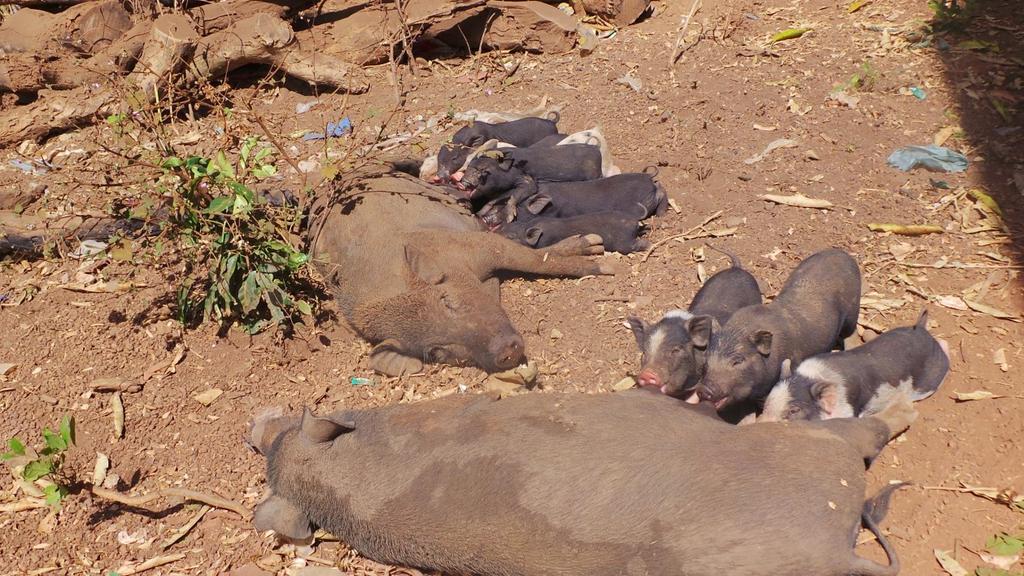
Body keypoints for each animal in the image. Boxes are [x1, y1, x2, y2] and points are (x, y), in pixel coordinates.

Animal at [307, 170, 614, 377]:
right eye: (436, 351)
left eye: (449, 301)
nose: (505, 351)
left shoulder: (476, 245)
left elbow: (535, 260)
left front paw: (602, 263)